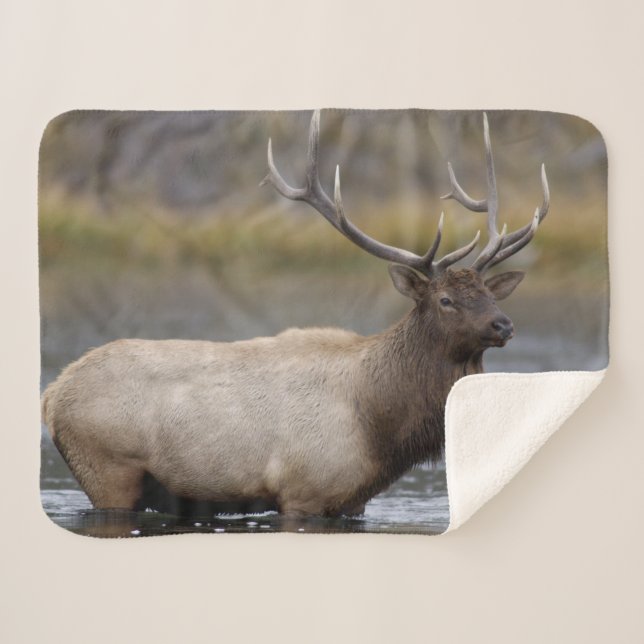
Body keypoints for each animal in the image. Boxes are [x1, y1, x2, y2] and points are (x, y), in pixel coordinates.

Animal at [41, 110, 549, 518]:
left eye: (491, 295)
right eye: (445, 300)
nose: (503, 325)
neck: (379, 428)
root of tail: (53, 394)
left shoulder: (351, 502)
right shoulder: (303, 491)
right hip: (108, 469)